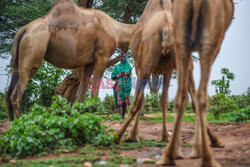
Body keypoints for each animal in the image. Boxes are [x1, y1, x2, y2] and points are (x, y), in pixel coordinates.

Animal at [5, 0, 135, 120]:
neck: (116, 30)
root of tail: (22, 31)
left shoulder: (89, 62)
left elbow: (81, 92)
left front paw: (81, 116)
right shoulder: (102, 56)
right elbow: (94, 91)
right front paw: (93, 117)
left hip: (16, 61)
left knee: (8, 92)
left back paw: (13, 123)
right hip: (32, 53)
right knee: (15, 94)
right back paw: (21, 121)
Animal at [116, 0, 224, 160]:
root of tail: (166, 27)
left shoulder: (139, 65)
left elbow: (145, 100)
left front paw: (134, 136)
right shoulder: (168, 70)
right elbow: (164, 99)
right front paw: (165, 136)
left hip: (146, 63)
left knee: (137, 102)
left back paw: (119, 136)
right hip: (185, 62)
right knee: (194, 98)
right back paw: (214, 141)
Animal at [156, 0, 234, 167]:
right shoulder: (214, 44)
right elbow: (197, 94)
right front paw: (200, 148)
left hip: (181, 42)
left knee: (179, 96)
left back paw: (168, 155)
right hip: (208, 41)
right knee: (201, 96)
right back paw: (208, 158)